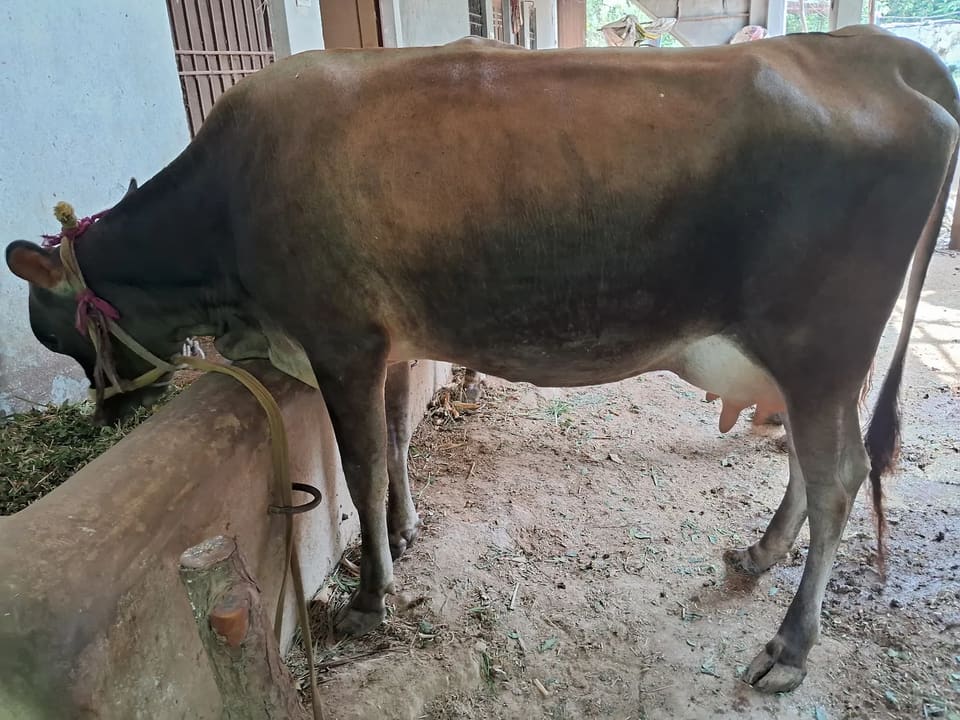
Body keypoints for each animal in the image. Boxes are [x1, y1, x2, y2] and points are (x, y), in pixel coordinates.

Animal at [6, 27, 957, 694]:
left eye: (53, 332)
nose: (108, 412)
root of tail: (874, 56)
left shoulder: (341, 340)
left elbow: (361, 468)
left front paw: (371, 597)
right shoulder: (387, 344)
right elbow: (395, 443)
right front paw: (405, 531)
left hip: (817, 345)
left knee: (837, 478)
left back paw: (789, 648)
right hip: (818, 364)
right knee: (810, 461)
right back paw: (759, 556)